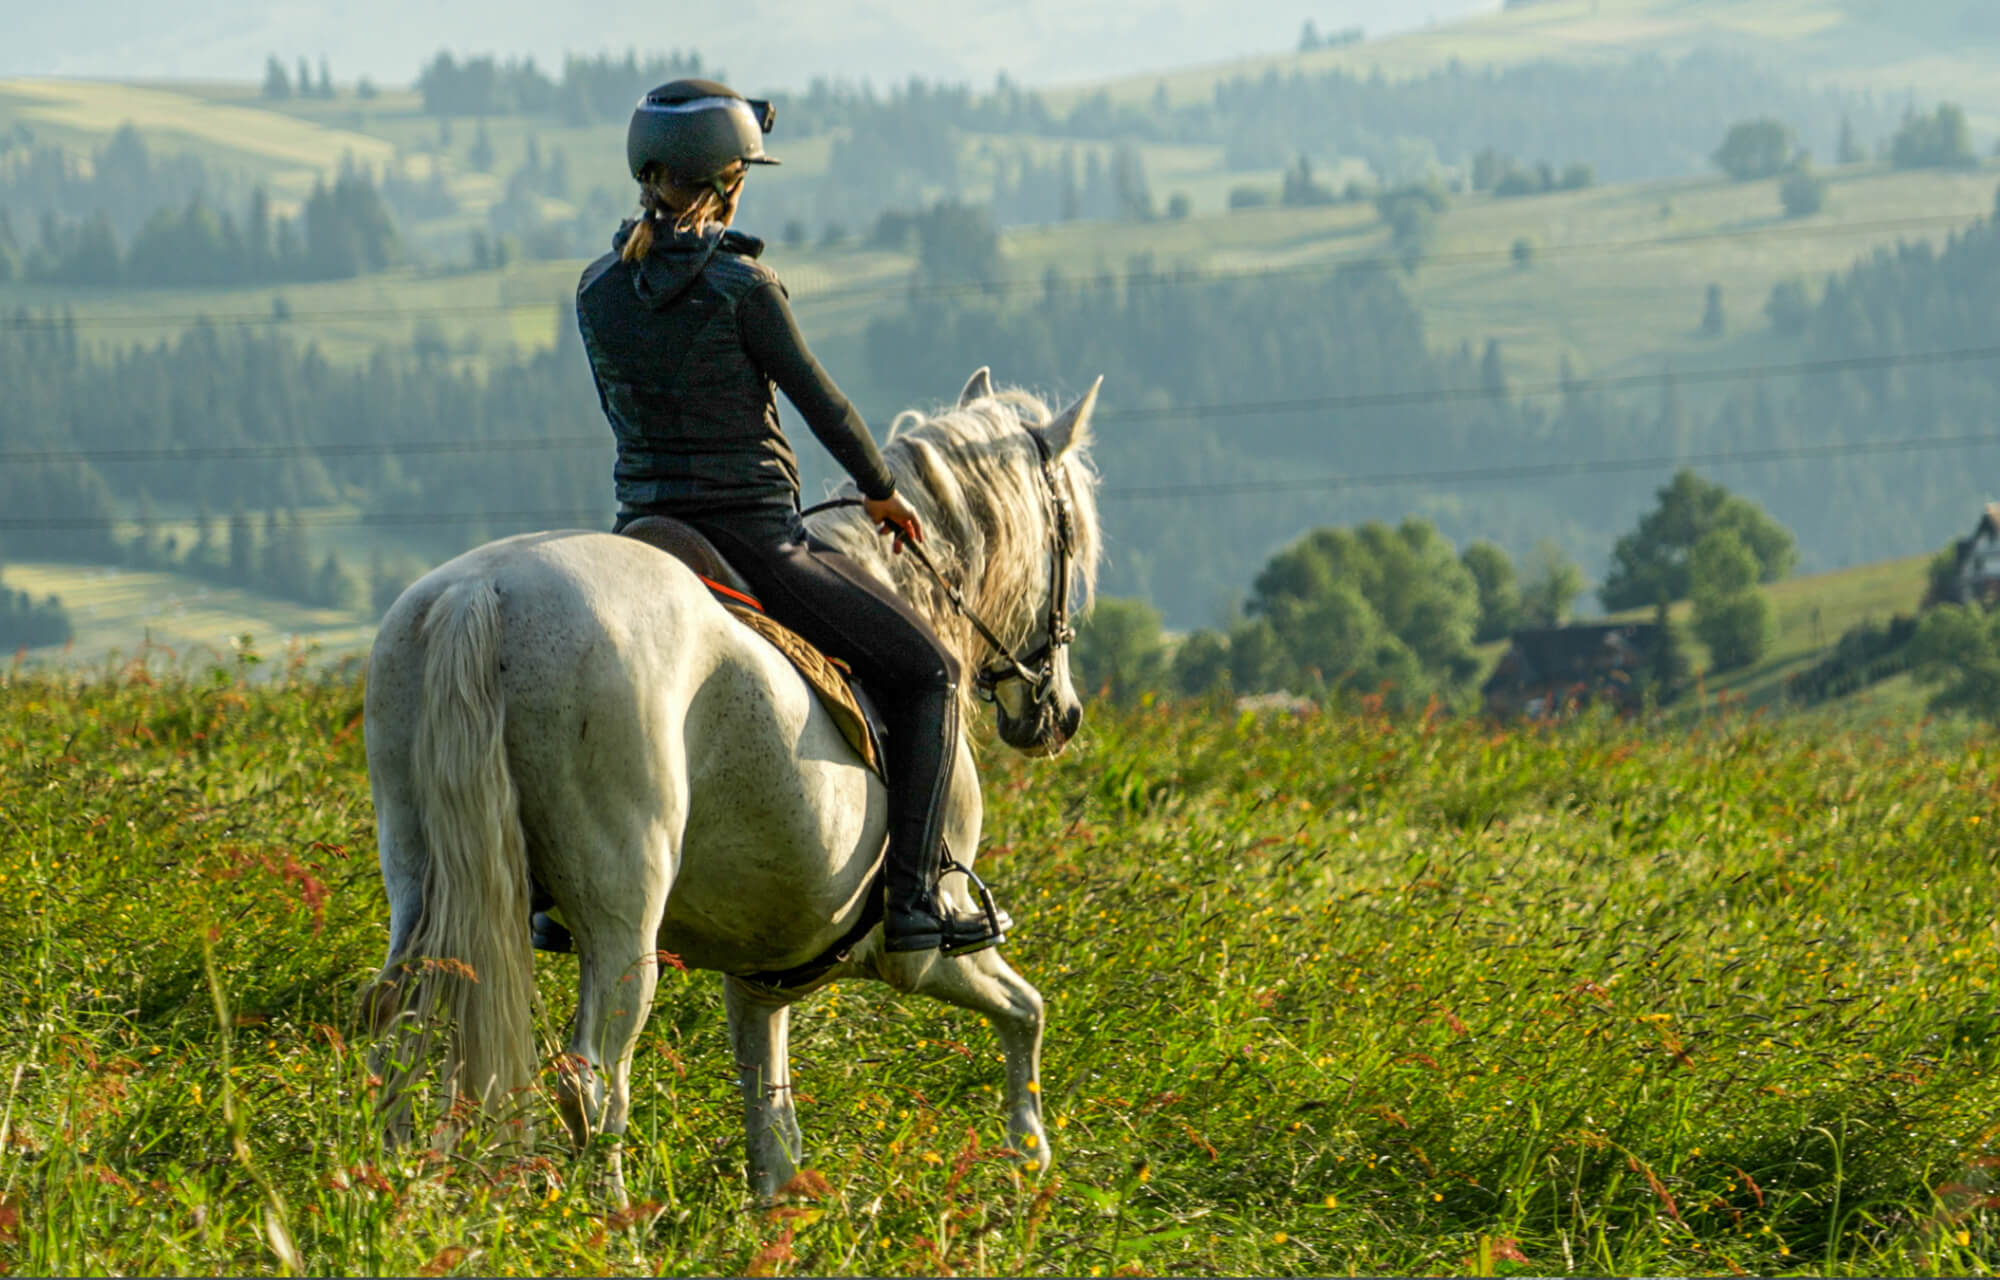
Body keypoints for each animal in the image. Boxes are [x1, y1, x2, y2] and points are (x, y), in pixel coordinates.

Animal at [362, 368, 1112, 1200]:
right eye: (1068, 537)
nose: (1059, 715)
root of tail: (483, 593)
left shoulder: (764, 977)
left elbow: (774, 1129)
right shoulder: (923, 954)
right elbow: (1026, 1010)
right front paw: (1029, 1153)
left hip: (427, 883)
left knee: (401, 1035)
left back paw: (395, 1194)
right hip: (624, 919)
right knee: (591, 1077)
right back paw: (609, 1218)